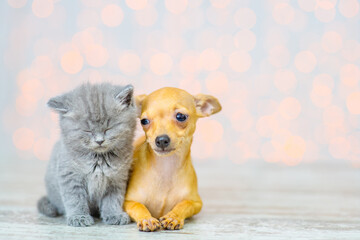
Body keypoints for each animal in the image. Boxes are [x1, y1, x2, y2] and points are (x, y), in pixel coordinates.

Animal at [37, 83, 136, 227]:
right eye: (87, 130)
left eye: (108, 128)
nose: (99, 141)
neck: (99, 159)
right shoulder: (70, 176)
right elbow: (75, 198)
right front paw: (79, 217)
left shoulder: (117, 178)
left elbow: (113, 199)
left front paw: (114, 214)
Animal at [124, 87, 221, 232]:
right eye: (144, 121)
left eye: (180, 116)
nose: (161, 140)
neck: (166, 167)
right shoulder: (126, 202)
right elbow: (138, 206)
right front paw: (147, 219)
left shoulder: (196, 202)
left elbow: (185, 204)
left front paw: (173, 217)